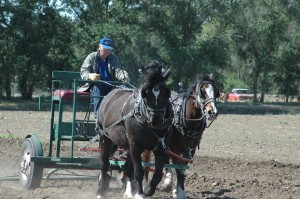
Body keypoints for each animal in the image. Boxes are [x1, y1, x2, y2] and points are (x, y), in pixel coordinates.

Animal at [95, 60, 171, 199]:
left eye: (165, 92)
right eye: (145, 92)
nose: (156, 119)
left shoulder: (161, 147)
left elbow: (158, 173)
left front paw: (148, 190)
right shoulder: (135, 145)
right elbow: (138, 171)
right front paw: (140, 193)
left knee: (125, 168)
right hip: (106, 138)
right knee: (104, 164)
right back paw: (100, 191)